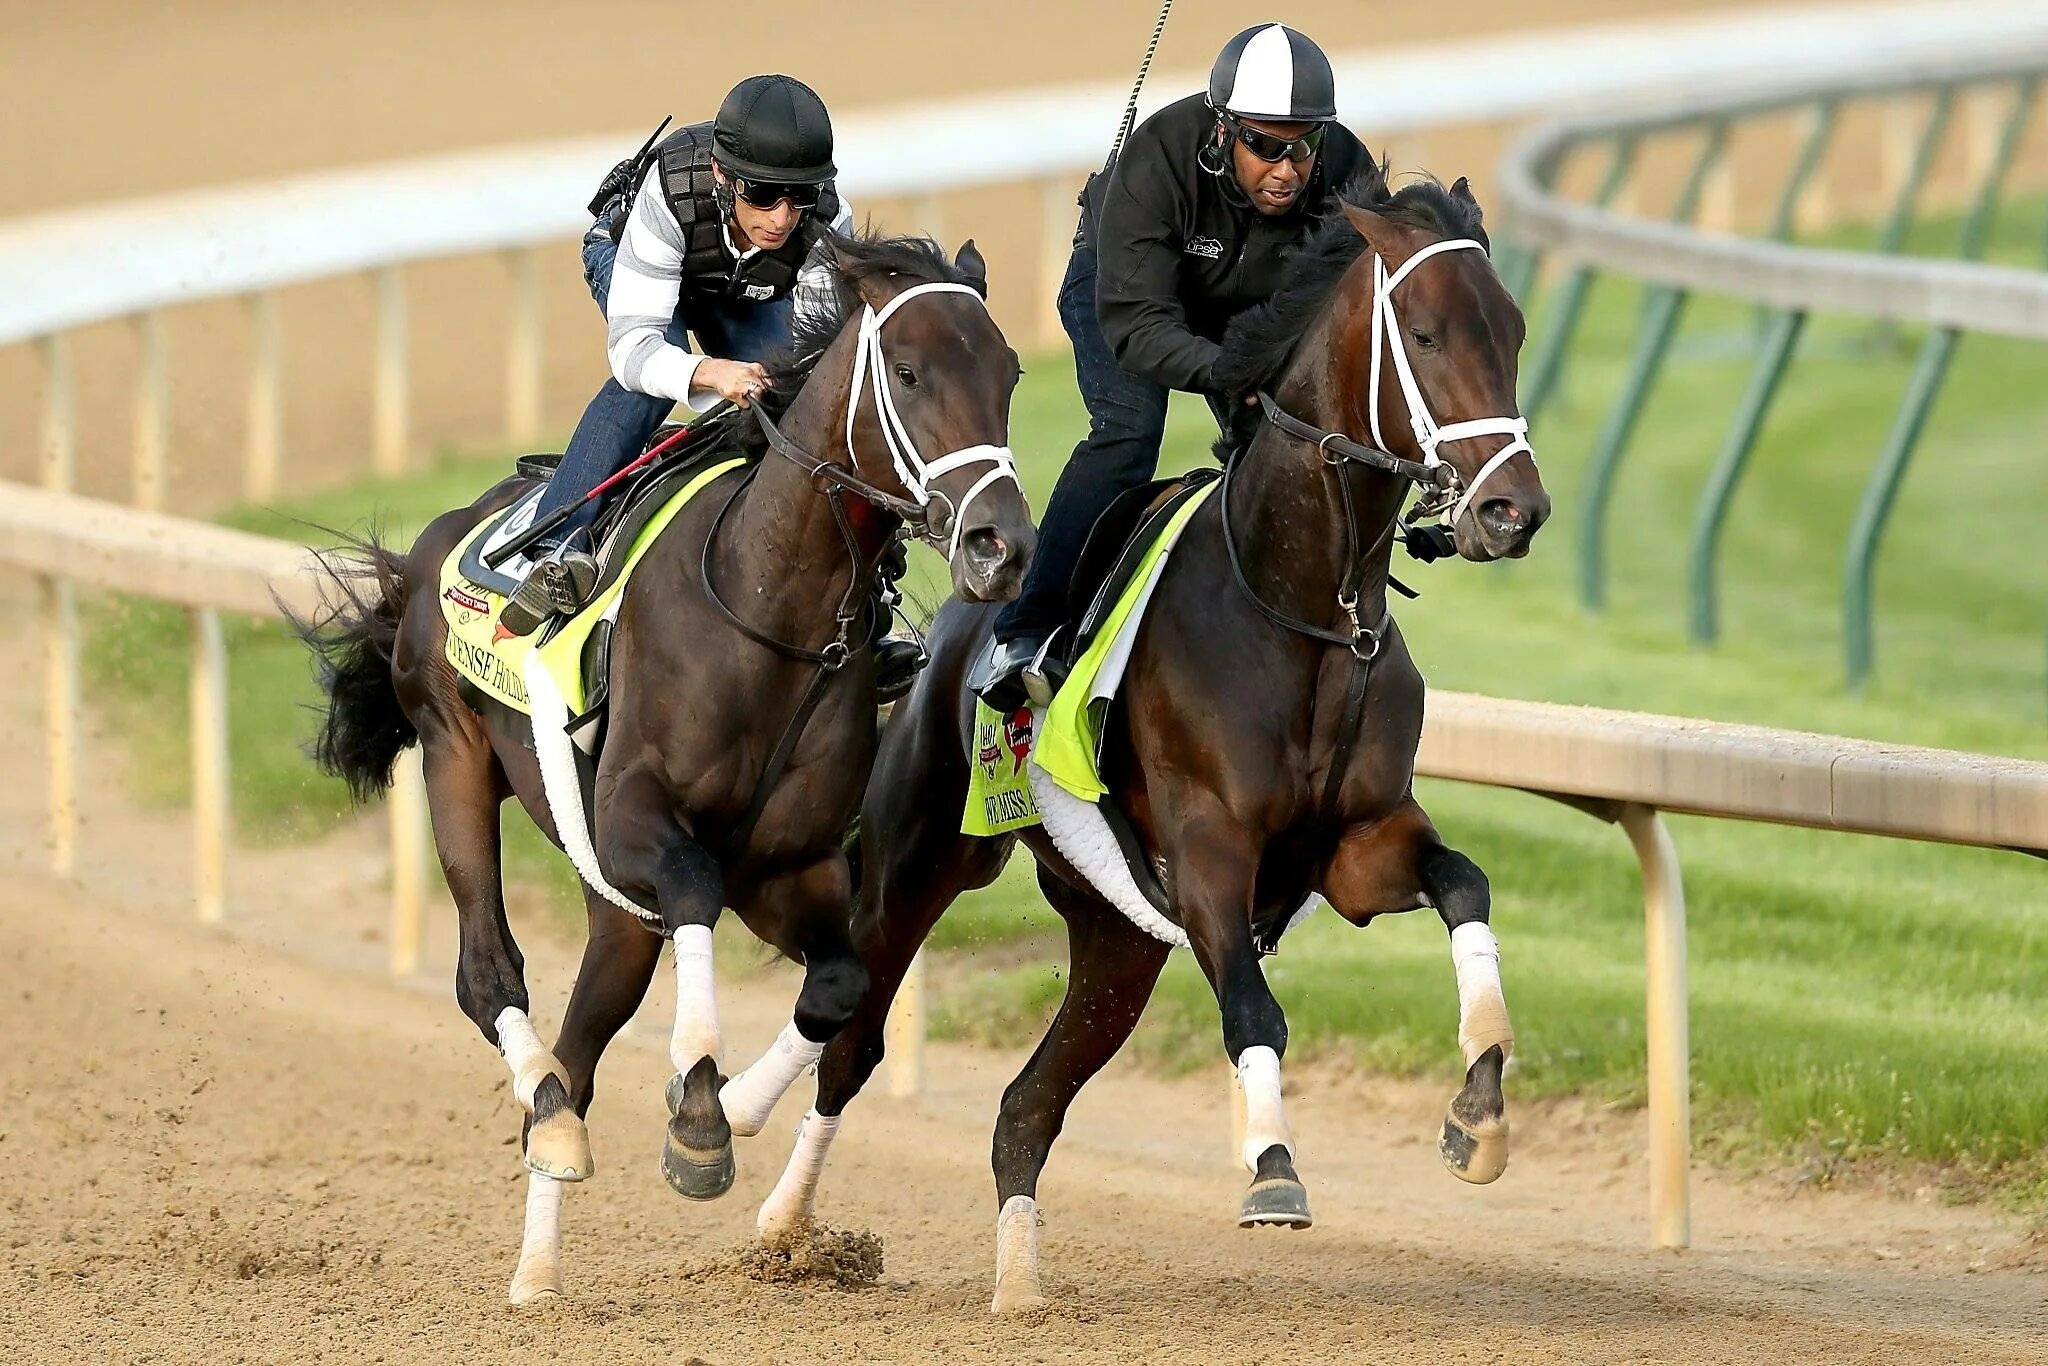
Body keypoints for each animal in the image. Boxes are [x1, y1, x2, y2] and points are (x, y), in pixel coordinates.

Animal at [294, 232, 1032, 1302]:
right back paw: (549, 1139)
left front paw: (736, 1108)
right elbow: (692, 888)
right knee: (491, 976)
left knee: (583, 1045)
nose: (1000, 546)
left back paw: (540, 1249)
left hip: (616, 912)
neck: (768, 607)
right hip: (454, 754)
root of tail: (440, 538)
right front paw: (697, 1106)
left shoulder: (789, 867)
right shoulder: (641, 824)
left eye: (1010, 373)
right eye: (908, 371)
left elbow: (839, 985)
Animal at [806, 174, 1540, 1310]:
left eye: (1510, 330)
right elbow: (1252, 1008)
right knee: (850, 1043)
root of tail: (955, 620)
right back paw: (777, 1228)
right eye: (1423, 333)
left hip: (1117, 937)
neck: (1298, 608)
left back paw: (1017, 1284)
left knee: (1025, 1107)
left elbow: (1465, 883)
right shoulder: (1207, 850)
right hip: (920, 862)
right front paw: (1272, 1167)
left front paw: (1480, 1110)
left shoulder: (1360, 844)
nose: (1514, 509)